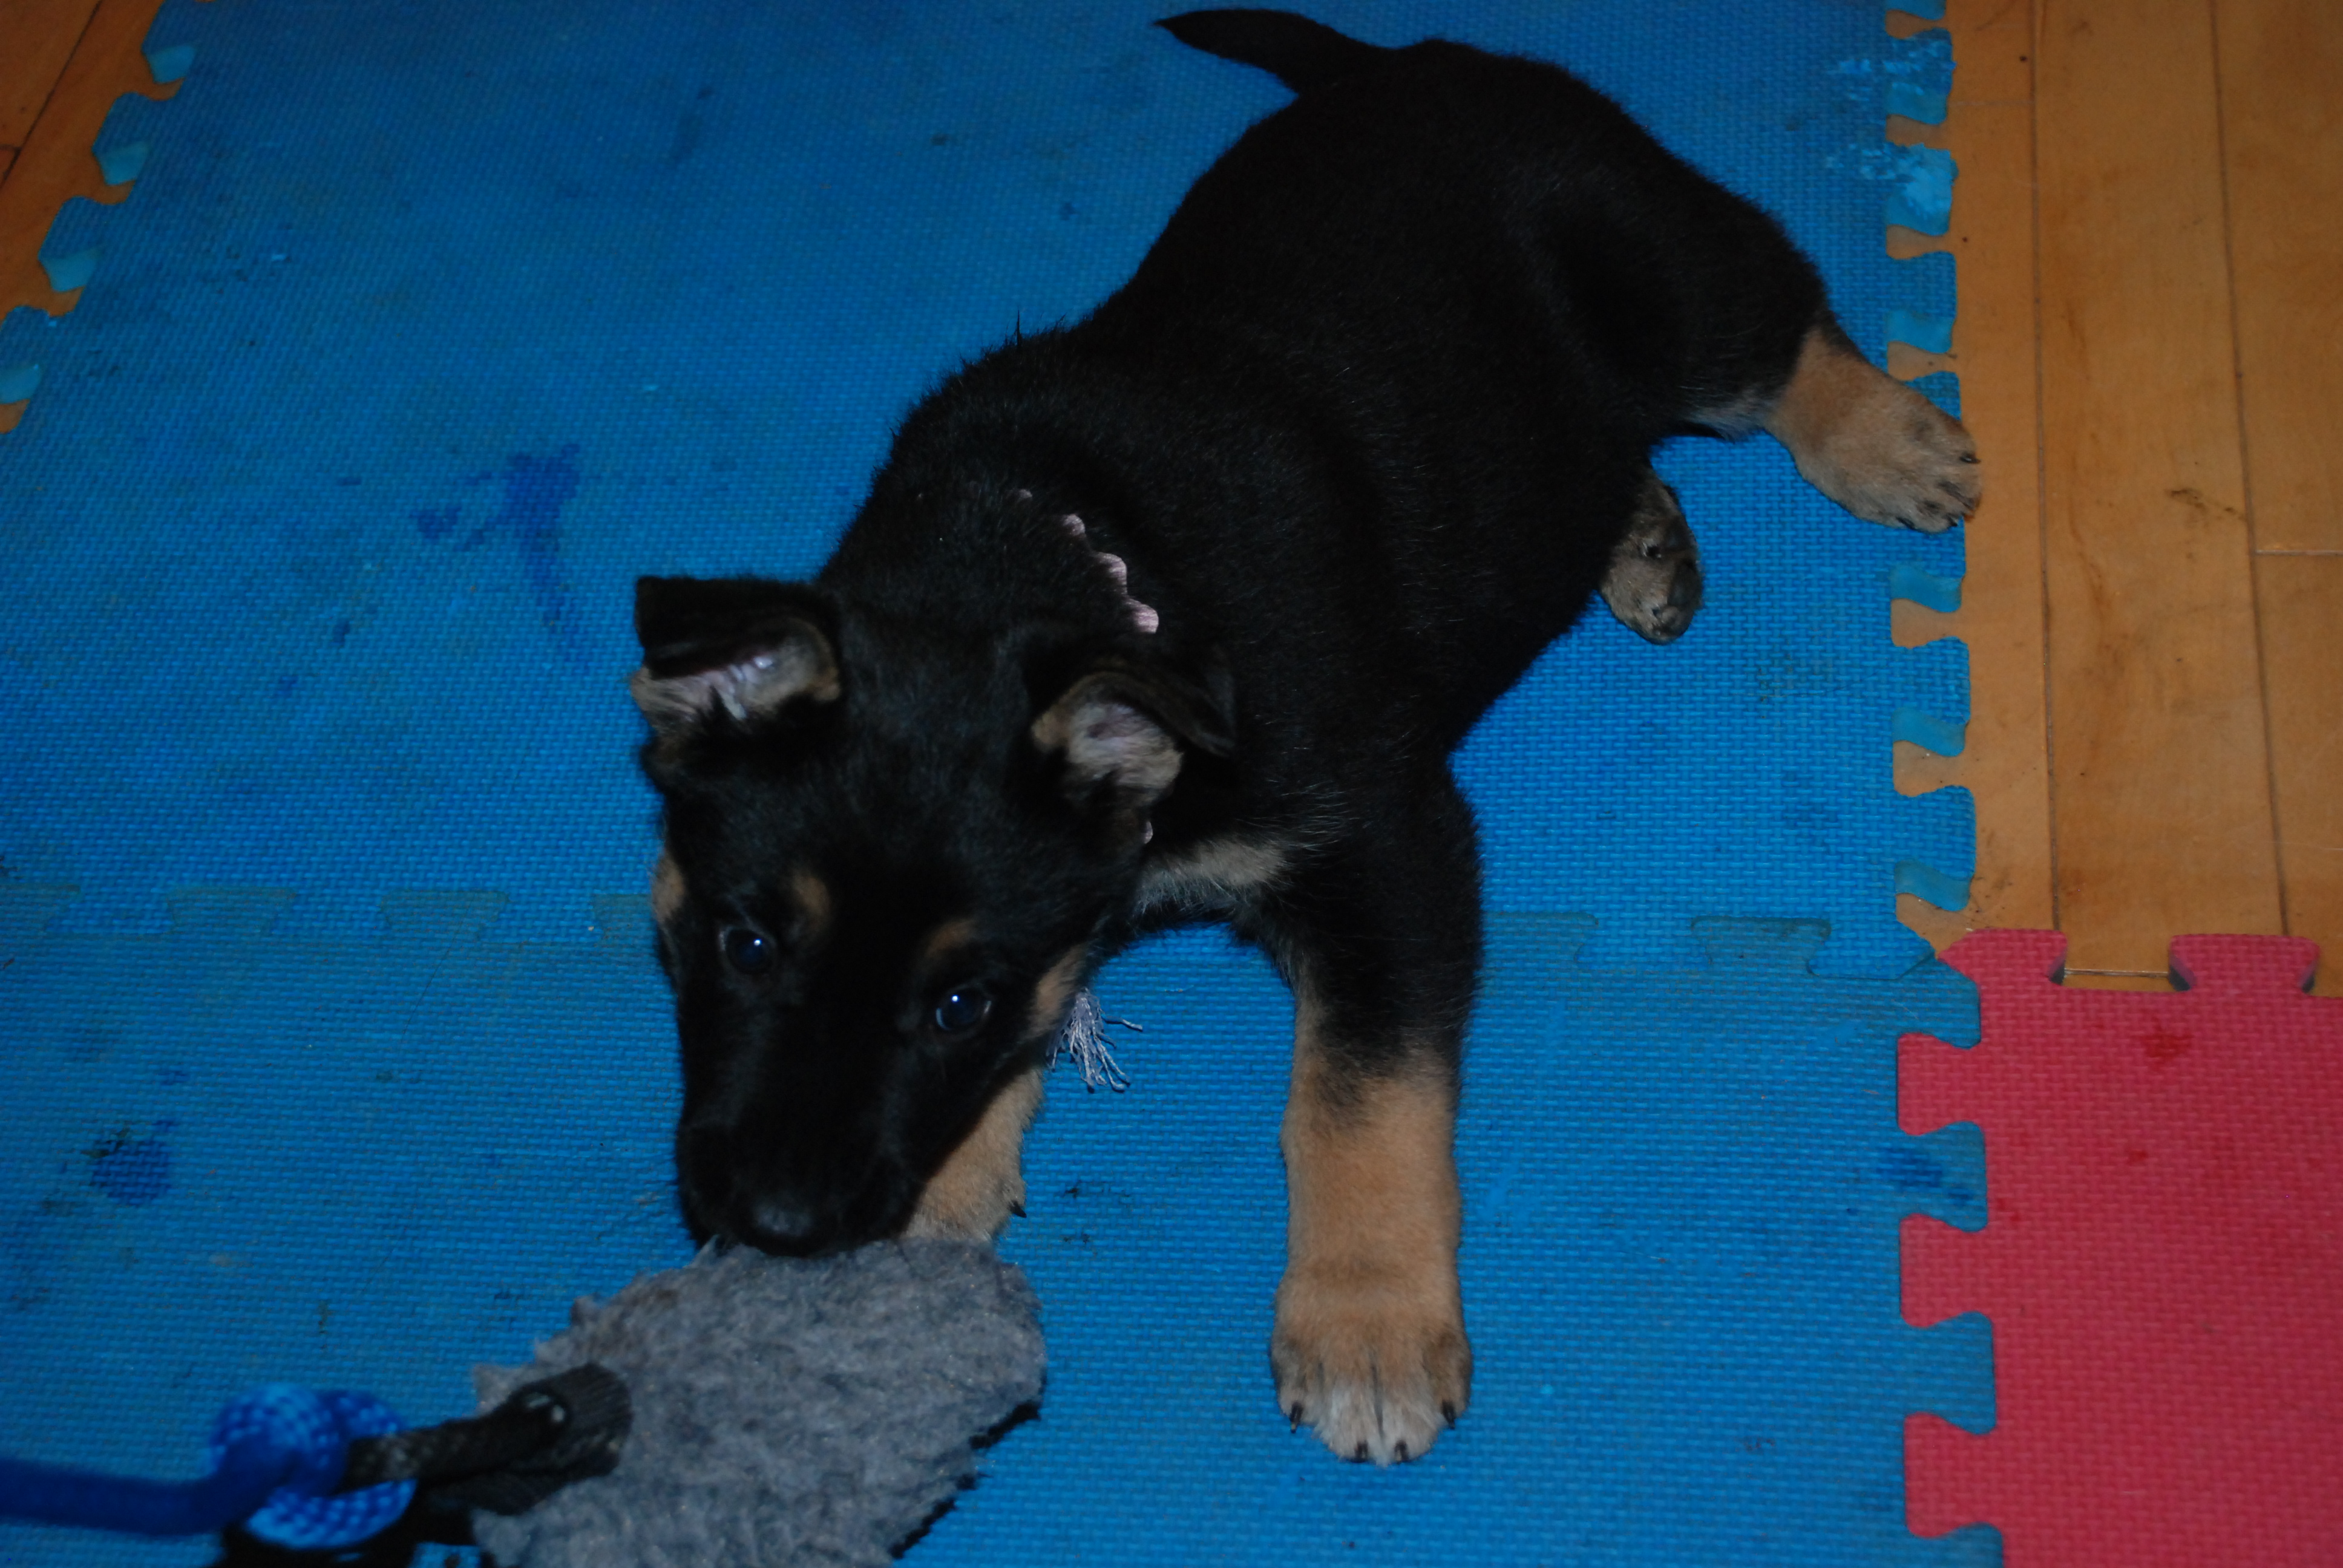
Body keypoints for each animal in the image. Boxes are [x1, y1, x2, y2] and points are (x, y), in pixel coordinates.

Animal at [628, 9, 1978, 1466]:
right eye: (743, 945)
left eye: (954, 1001)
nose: (781, 1225)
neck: (1074, 554)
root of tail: (1406, 56)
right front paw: (939, 1214)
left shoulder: (1387, 842)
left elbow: (1357, 1098)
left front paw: (1366, 1325)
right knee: (1604, 438)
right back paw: (1639, 533)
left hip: (1662, 275)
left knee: (1778, 324)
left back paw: (1889, 440)